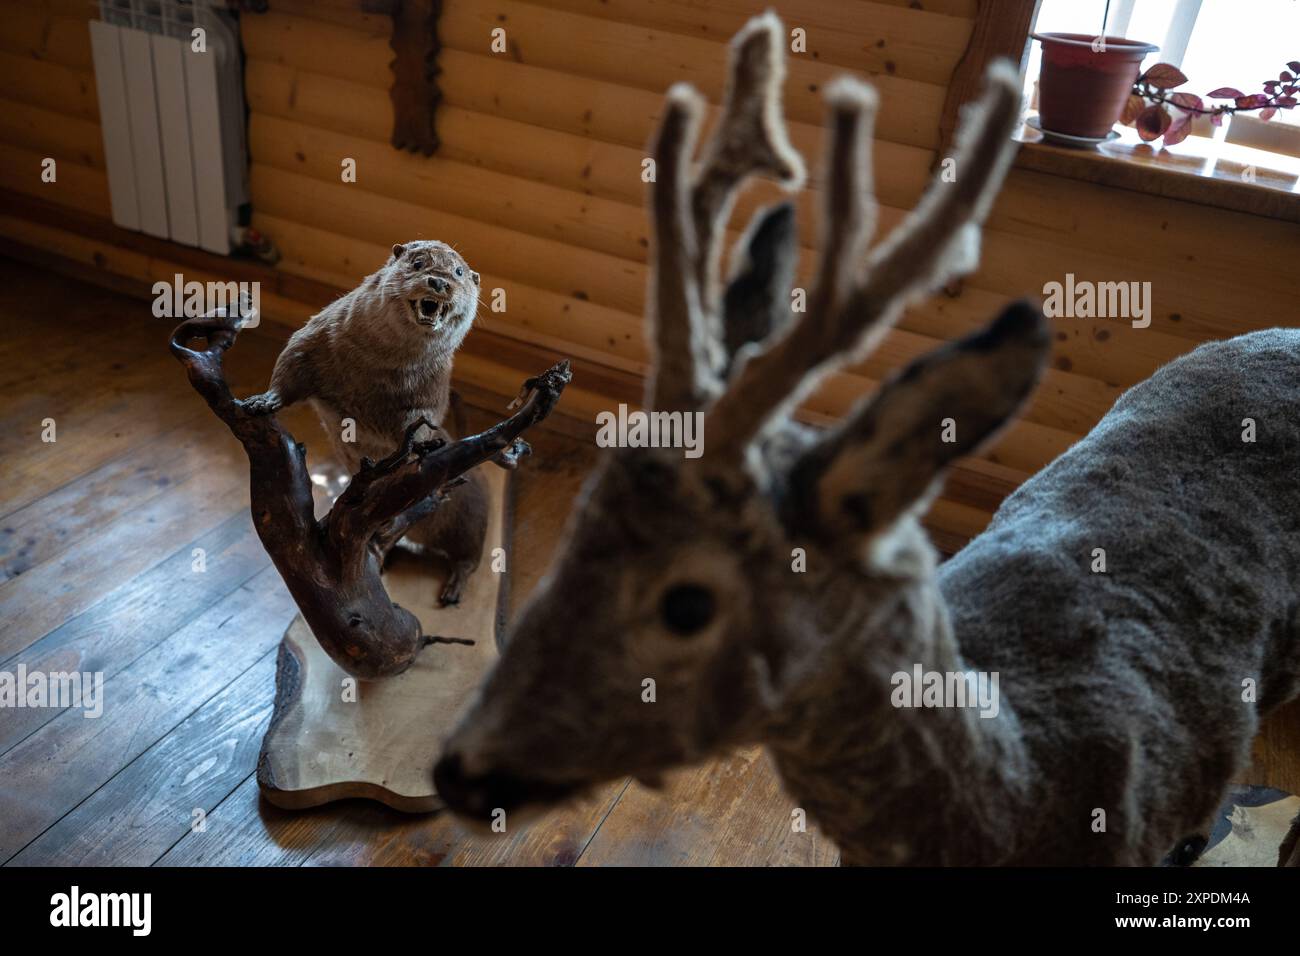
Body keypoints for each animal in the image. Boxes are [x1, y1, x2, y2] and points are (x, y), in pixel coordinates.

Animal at [240, 239, 488, 606]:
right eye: (418, 263)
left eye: (458, 272)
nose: (439, 281)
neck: (379, 369)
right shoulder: (316, 336)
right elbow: (290, 366)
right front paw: (264, 401)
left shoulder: (430, 393)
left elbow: (421, 422)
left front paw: (422, 445)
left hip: (473, 517)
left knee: (469, 560)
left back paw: (452, 588)